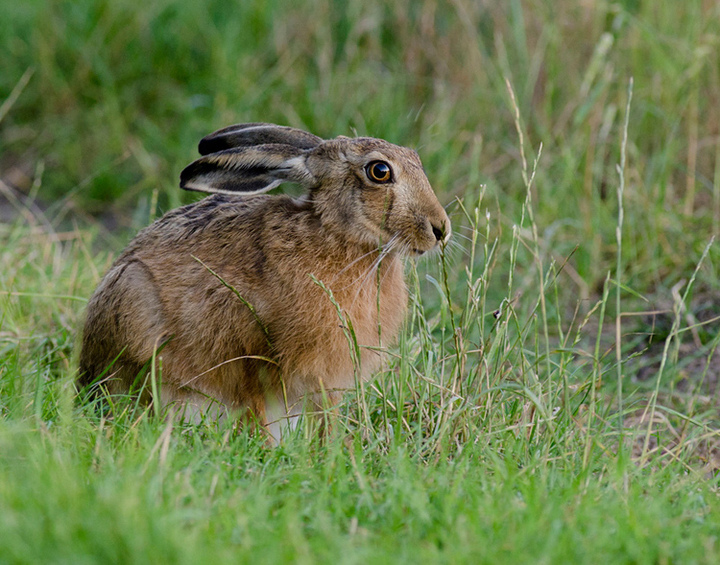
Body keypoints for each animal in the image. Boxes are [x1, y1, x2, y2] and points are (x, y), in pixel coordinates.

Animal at [78, 123, 451, 440]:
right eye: (379, 171)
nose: (440, 229)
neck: (337, 236)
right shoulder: (253, 358)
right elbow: (255, 407)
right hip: (134, 305)